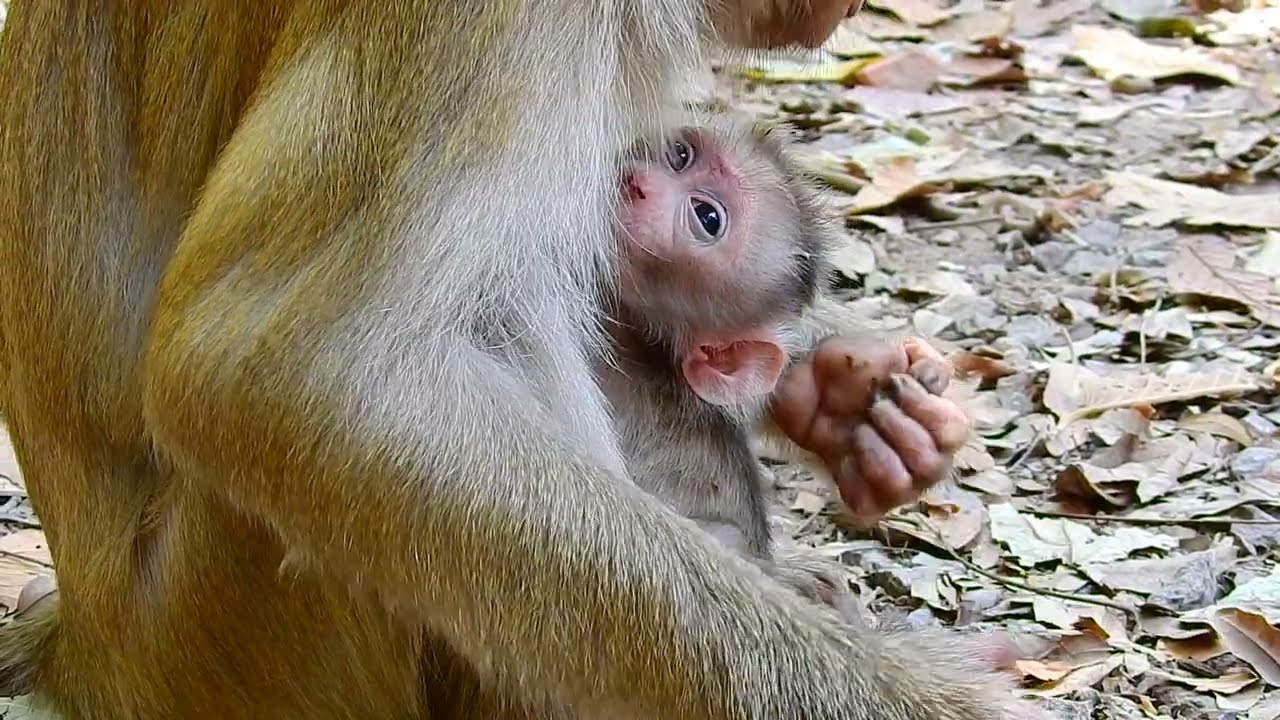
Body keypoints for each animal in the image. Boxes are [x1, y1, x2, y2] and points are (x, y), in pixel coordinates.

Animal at [0, 2, 1050, 719]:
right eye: (682, 169)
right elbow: (283, 372)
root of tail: (88, 647)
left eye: (708, 209)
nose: (643, 185)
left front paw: (854, 404)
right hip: (232, 630)